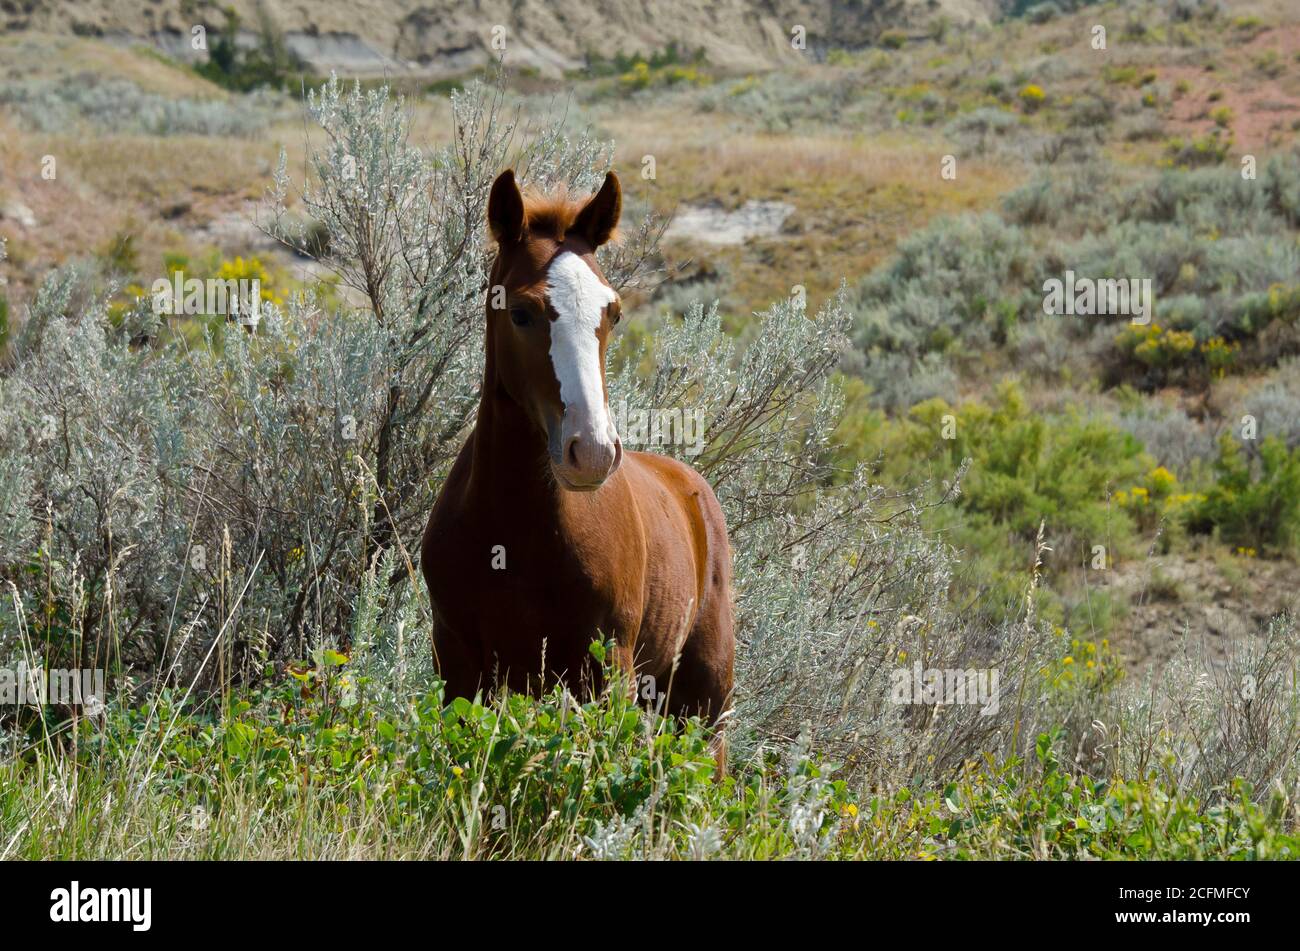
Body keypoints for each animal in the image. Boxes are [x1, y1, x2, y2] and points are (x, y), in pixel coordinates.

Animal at [421, 171, 738, 763]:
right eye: (521, 312)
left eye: (612, 312)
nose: (591, 451)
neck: (515, 535)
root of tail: (692, 488)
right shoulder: (460, 666)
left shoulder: (603, 668)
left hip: (704, 703)